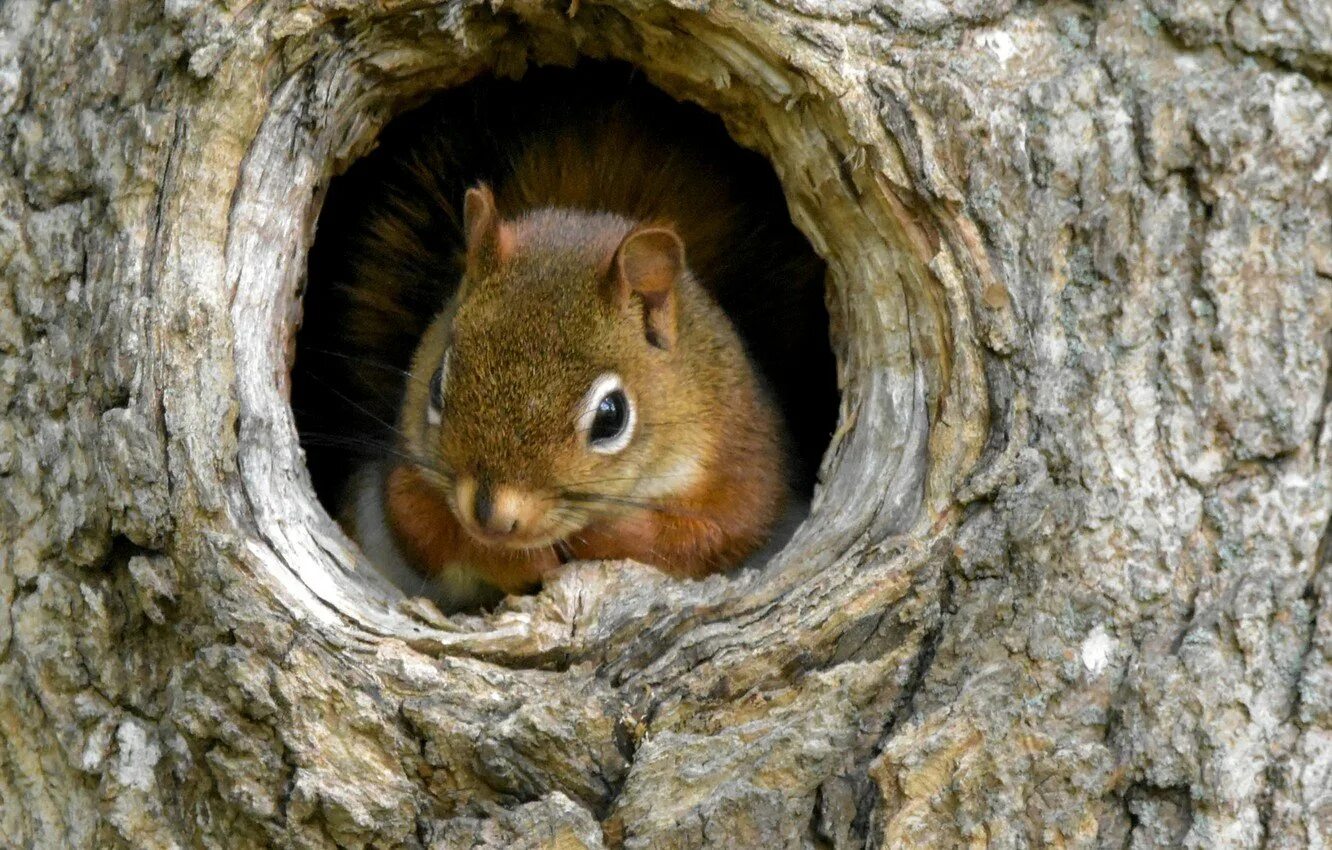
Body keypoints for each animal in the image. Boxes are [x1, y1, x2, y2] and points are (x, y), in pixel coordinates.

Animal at [299, 68, 831, 612]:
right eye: (435, 385)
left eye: (612, 417)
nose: (492, 516)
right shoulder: (406, 472)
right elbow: (419, 524)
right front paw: (514, 556)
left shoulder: (745, 464)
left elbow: (713, 537)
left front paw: (603, 537)